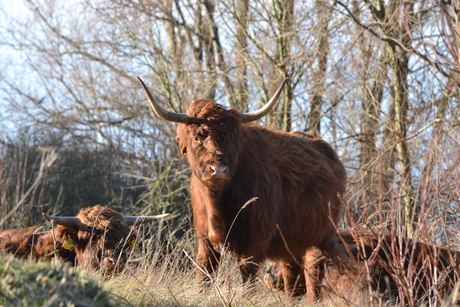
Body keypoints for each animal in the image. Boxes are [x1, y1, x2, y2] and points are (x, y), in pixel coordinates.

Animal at [138, 77, 346, 300]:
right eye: (197, 138)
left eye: (233, 139)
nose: (219, 169)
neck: (217, 202)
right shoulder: (204, 237)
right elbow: (204, 271)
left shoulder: (256, 237)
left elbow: (247, 273)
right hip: (292, 244)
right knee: (292, 278)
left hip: (319, 238)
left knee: (313, 276)